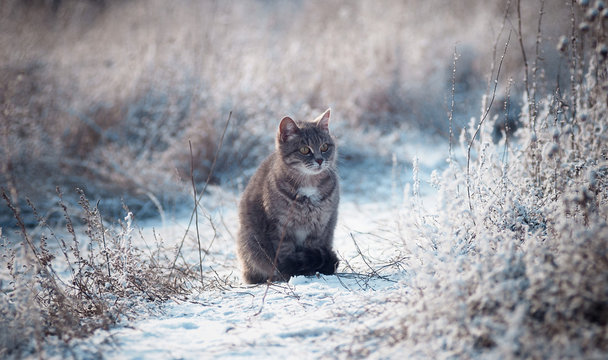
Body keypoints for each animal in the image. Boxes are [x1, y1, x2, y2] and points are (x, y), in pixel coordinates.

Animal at [236, 108, 340, 282]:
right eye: (305, 150)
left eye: (325, 147)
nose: (319, 160)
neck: (309, 185)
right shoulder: (280, 227)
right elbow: (284, 253)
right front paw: (290, 272)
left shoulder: (319, 227)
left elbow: (311, 249)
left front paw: (310, 270)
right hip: (250, 243)